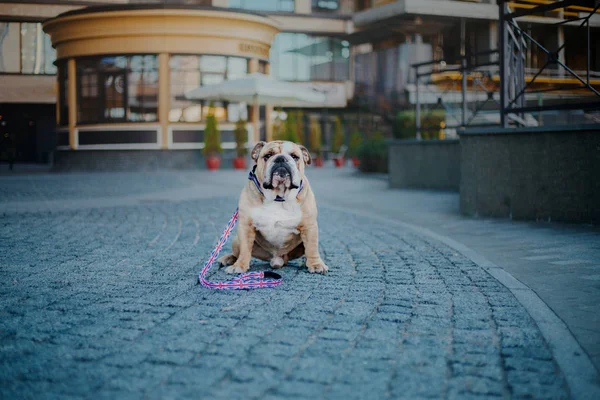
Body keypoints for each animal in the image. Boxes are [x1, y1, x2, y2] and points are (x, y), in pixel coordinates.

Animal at [218, 141, 328, 276]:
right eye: (268, 155)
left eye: (295, 156)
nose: (281, 158)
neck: (278, 197)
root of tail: (278, 259)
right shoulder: (246, 226)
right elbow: (244, 250)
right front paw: (239, 265)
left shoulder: (309, 226)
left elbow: (312, 248)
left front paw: (315, 264)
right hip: (236, 239)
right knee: (237, 252)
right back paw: (228, 258)